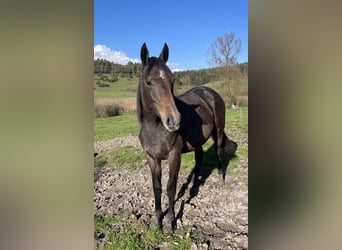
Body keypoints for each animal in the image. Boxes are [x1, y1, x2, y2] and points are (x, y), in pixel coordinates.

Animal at [136, 43, 238, 232]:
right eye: (148, 82)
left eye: (172, 81)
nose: (174, 120)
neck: (155, 127)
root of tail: (210, 92)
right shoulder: (152, 157)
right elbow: (157, 187)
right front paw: (157, 219)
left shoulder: (174, 155)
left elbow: (170, 187)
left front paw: (170, 221)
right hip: (198, 141)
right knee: (199, 157)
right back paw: (193, 186)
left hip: (219, 131)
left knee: (219, 152)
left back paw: (220, 177)